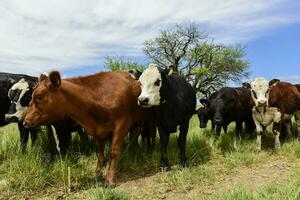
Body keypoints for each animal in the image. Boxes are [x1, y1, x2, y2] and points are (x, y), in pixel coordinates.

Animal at [23, 70, 155, 186]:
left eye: (39, 96)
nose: (25, 121)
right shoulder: (99, 129)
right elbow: (100, 151)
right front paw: (98, 171)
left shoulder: (122, 123)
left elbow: (113, 151)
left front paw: (110, 178)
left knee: (151, 135)